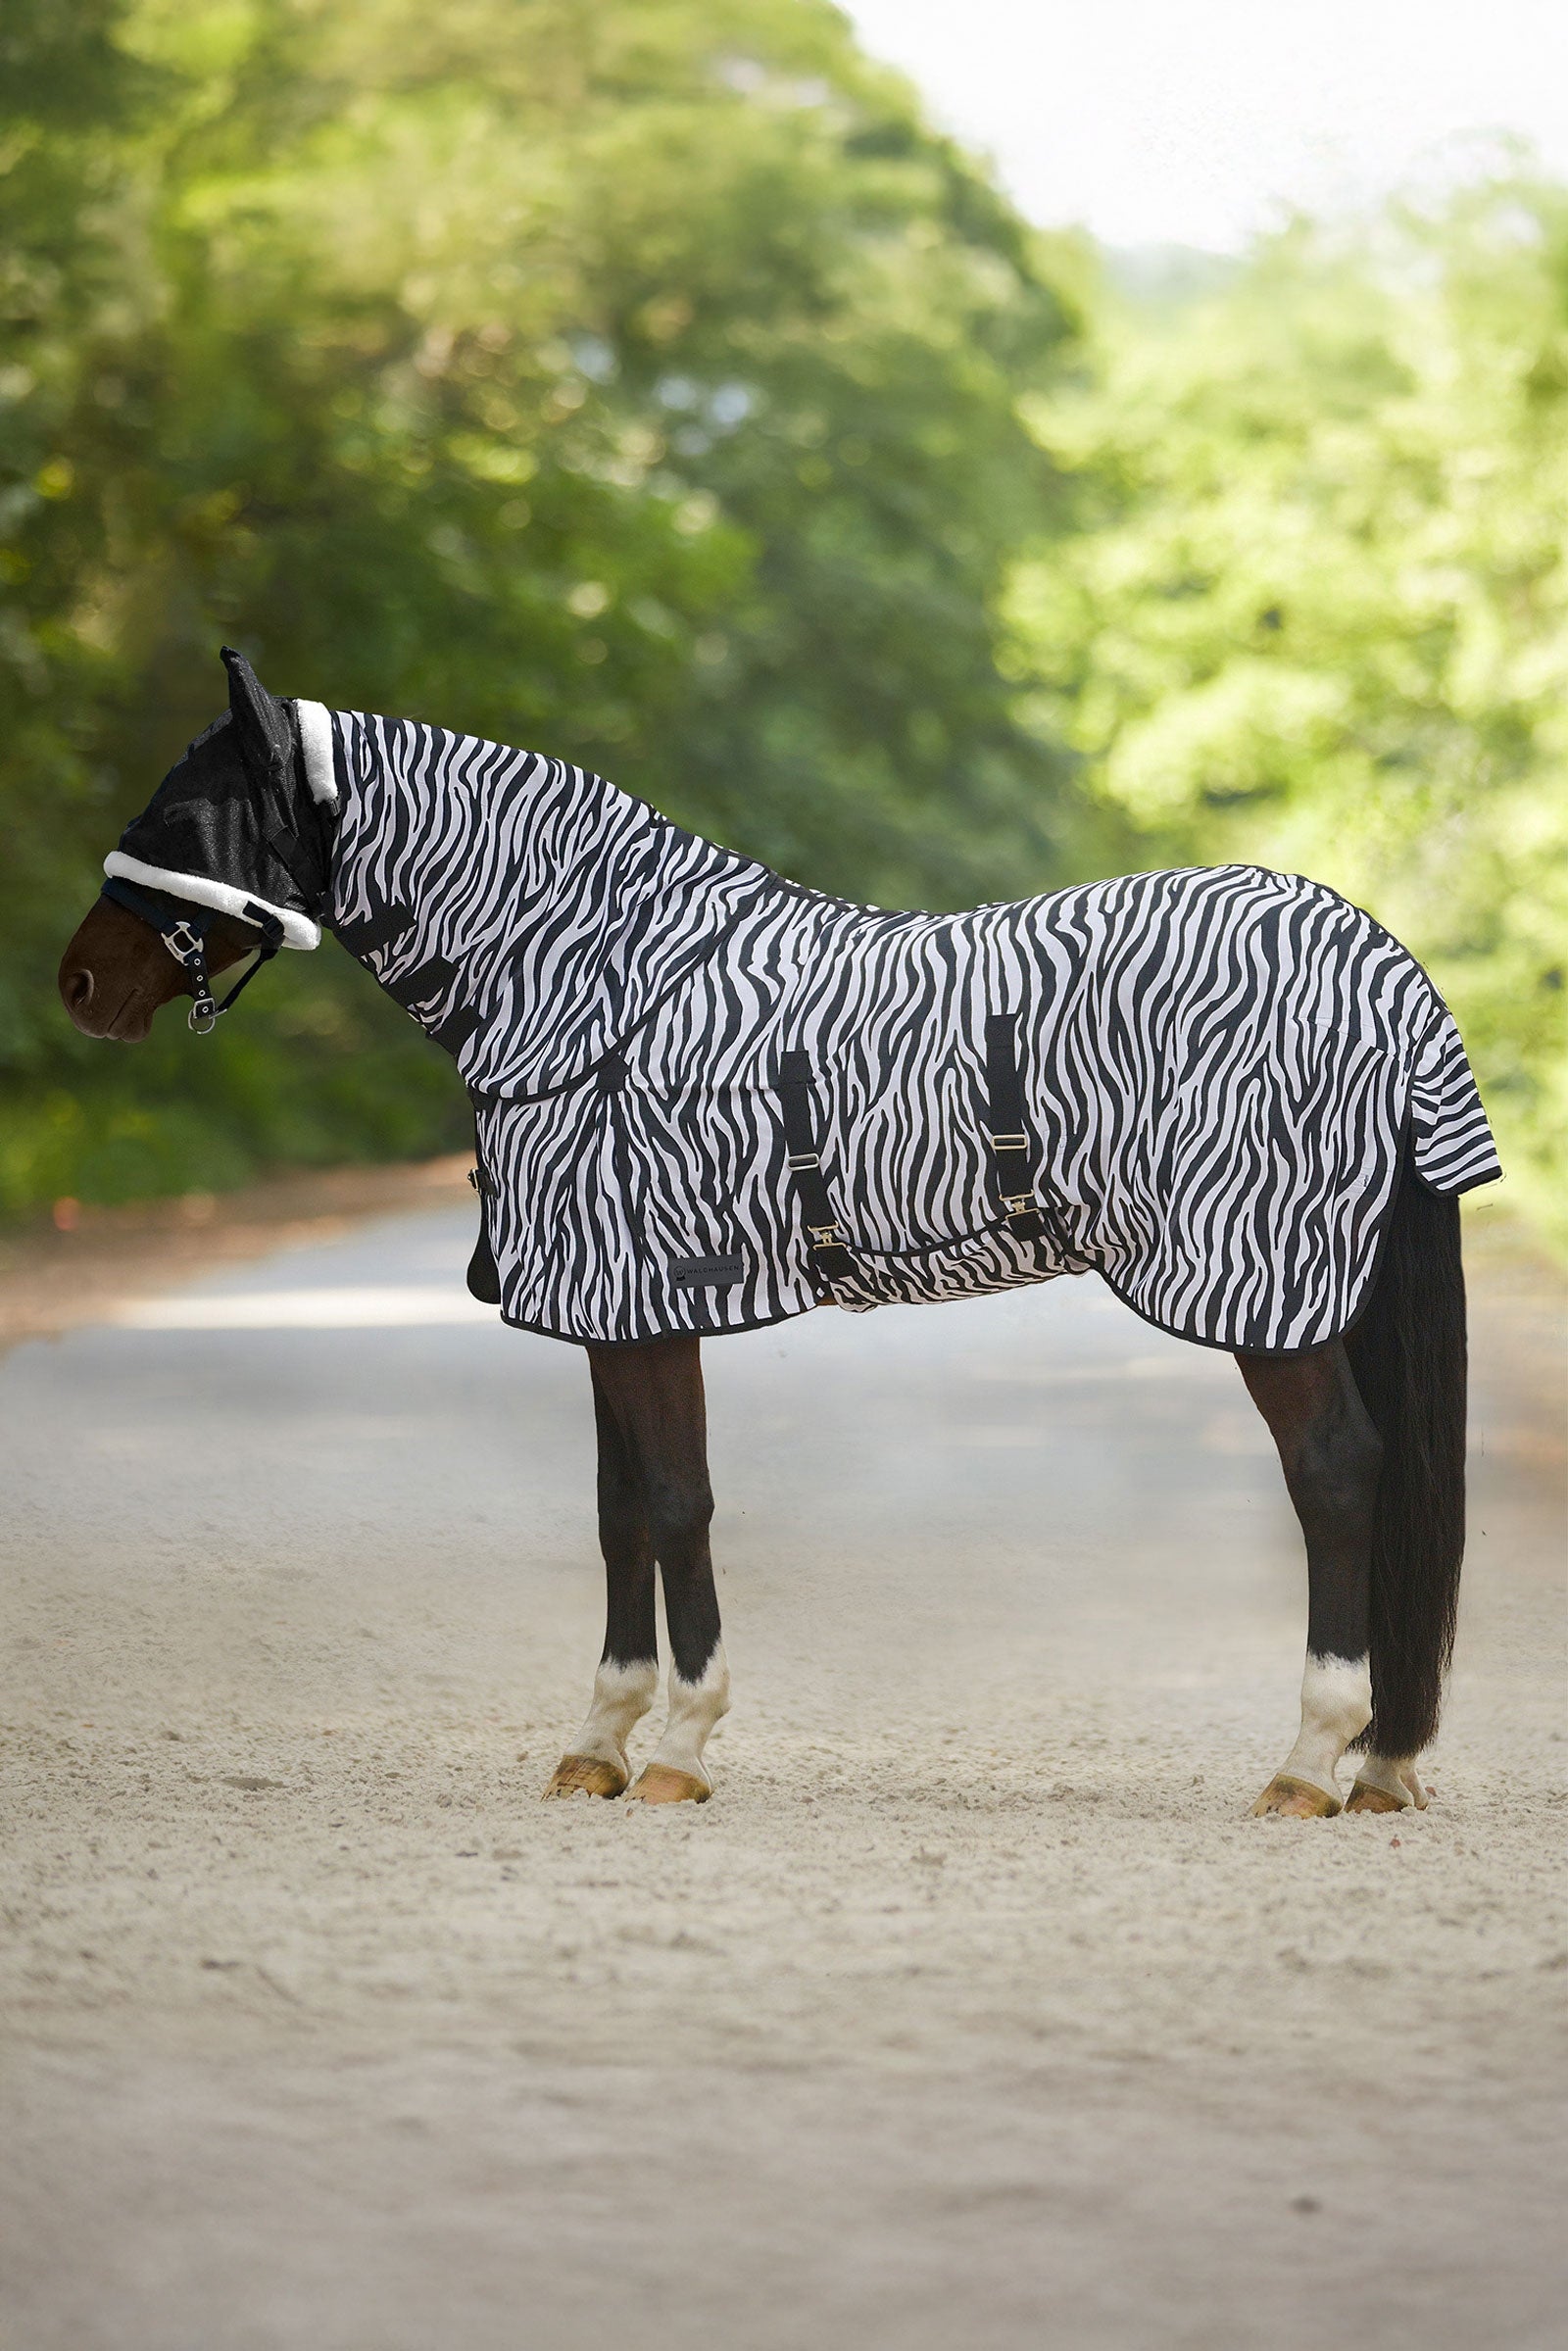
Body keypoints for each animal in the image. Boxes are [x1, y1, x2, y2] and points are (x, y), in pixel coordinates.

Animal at [58, 648, 1500, 1818]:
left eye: (182, 818)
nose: (76, 986)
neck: (601, 987)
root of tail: (1382, 965)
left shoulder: (646, 1300)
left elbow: (678, 1501)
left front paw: (680, 1748)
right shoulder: (613, 1306)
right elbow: (621, 1509)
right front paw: (598, 1743)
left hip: (1269, 1290)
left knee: (1339, 1475)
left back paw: (1310, 1761)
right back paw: (1380, 1762)